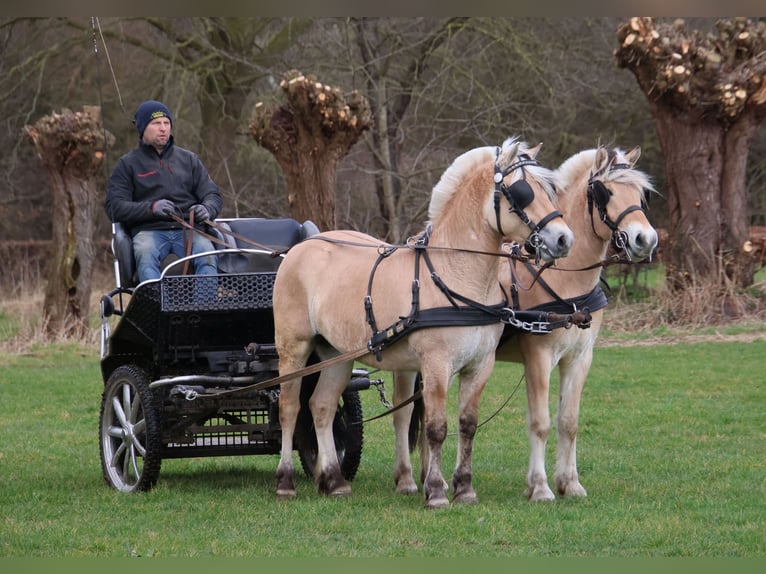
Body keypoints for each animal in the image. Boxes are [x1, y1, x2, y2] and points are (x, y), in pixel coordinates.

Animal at [272, 138, 572, 508]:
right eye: (522, 192)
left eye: (551, 190)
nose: (564, 239)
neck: (455, 273)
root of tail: (301, 246)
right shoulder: (436, 364)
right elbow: (436, 427)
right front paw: (437, 491)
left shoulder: (480, 365)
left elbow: (467, 425)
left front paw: (465, 489)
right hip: (293, 348)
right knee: (289, 408)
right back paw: (285, 481)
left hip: (335, 354)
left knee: (322, 406)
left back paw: (333, 480)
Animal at [396, 145, 660, 504]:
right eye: (606, 192)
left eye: (641, 194)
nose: (645, 239)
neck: (564, 282)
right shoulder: (539, 357)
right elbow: (540, 422)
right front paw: (540, 486)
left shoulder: (580, 358)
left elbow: (568, 422)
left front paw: (570, 483)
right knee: (405, 415)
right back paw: (411, 480)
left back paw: (428, 478)